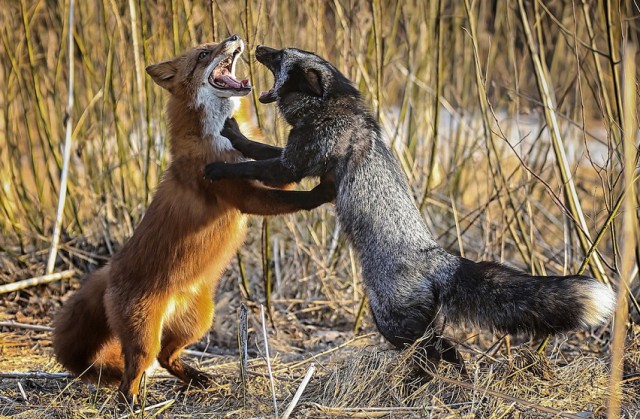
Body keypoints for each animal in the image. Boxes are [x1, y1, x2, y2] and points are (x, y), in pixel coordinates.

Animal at [53, 35, 336, 404]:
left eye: (215, 43)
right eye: (203, 54)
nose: (234, 37)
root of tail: (109, 270)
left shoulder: (266, 174)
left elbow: (274, 160)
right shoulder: (245, 197)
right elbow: (291, 197)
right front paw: (323, 191)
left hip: (198, 322)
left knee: (166, 357)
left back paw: (195, 377)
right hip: (144, 338)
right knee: (132, 375)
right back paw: (134, 403)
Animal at [205, 45, 616, 368]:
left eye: (279, 56)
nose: (259, 46)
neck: (333, 110)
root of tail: (439, 259)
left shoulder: (294, 163)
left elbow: (254, 160)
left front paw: (221, 162)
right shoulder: (305, 166)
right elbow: (265, 154)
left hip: (390, 320)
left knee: (440, 350)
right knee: (448, 352)